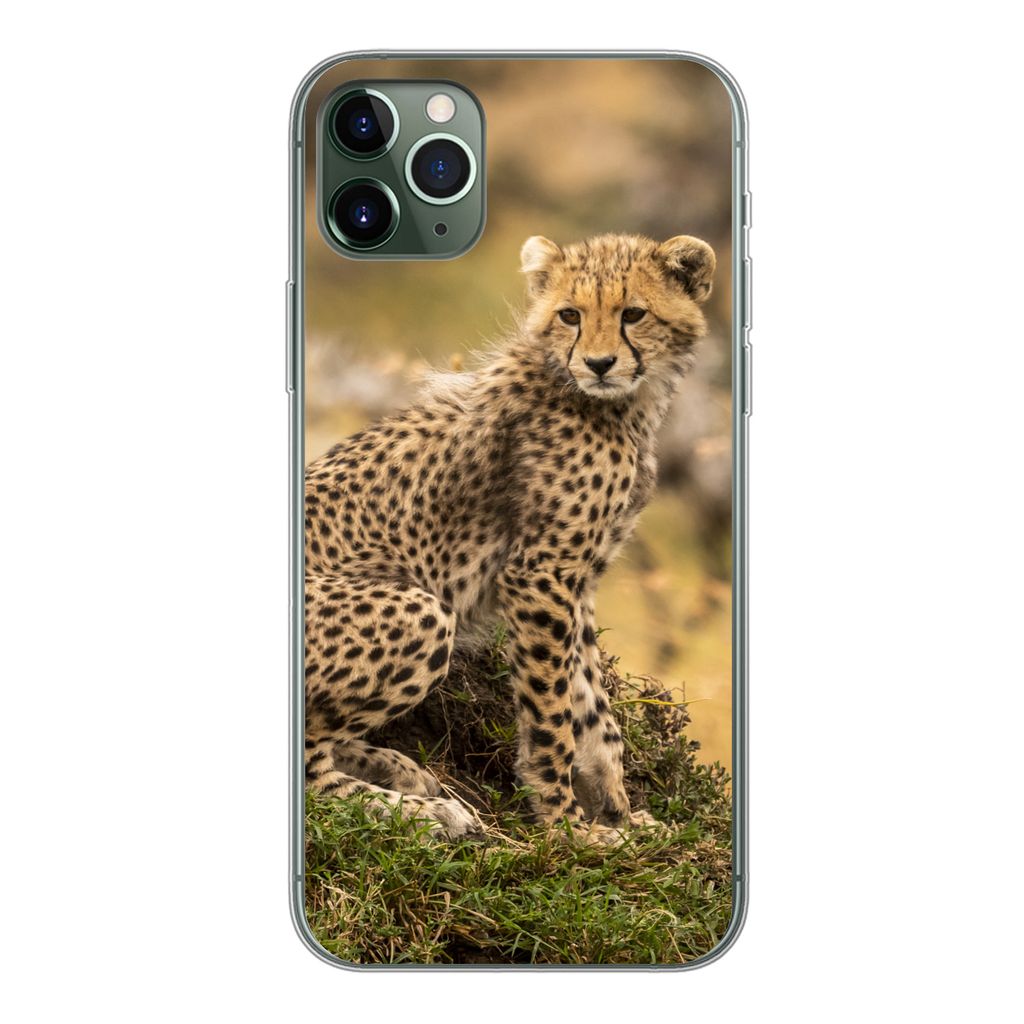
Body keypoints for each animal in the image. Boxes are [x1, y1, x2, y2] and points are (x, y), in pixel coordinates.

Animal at [304, 231, 716, 840]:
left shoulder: (577, 580)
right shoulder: (539, 575)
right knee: (311, 768)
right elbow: (553, 711)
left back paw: (398, 769)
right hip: (421, 611)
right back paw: (421, 812)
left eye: (633, 314)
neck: (615, 404)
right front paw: (569, 826)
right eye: (570, 315)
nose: (598, 364)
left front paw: (621, 812)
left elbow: (594, 708)